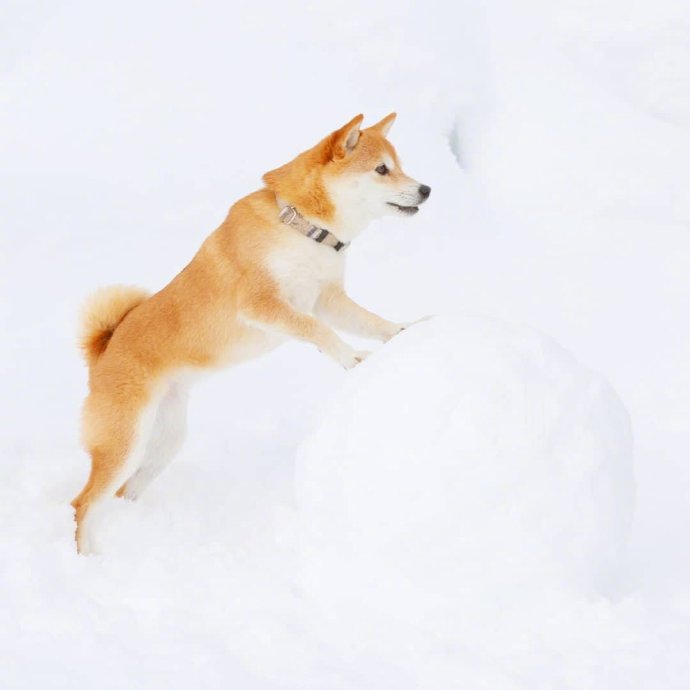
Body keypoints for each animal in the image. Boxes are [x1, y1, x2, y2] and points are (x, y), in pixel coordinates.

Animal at [72, 113, 432, 552]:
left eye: (399, 165)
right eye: (382, 169)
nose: (427, 189)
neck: (299, 224)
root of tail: (103, 352)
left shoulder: (327, 298)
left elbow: (372, 321)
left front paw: (407, 330)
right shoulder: (265, 305)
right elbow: (316, 330)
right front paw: (352, 358)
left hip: (162, 443)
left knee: (123, 492)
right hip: (124, 444)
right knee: (83, 503)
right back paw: (85, 555)